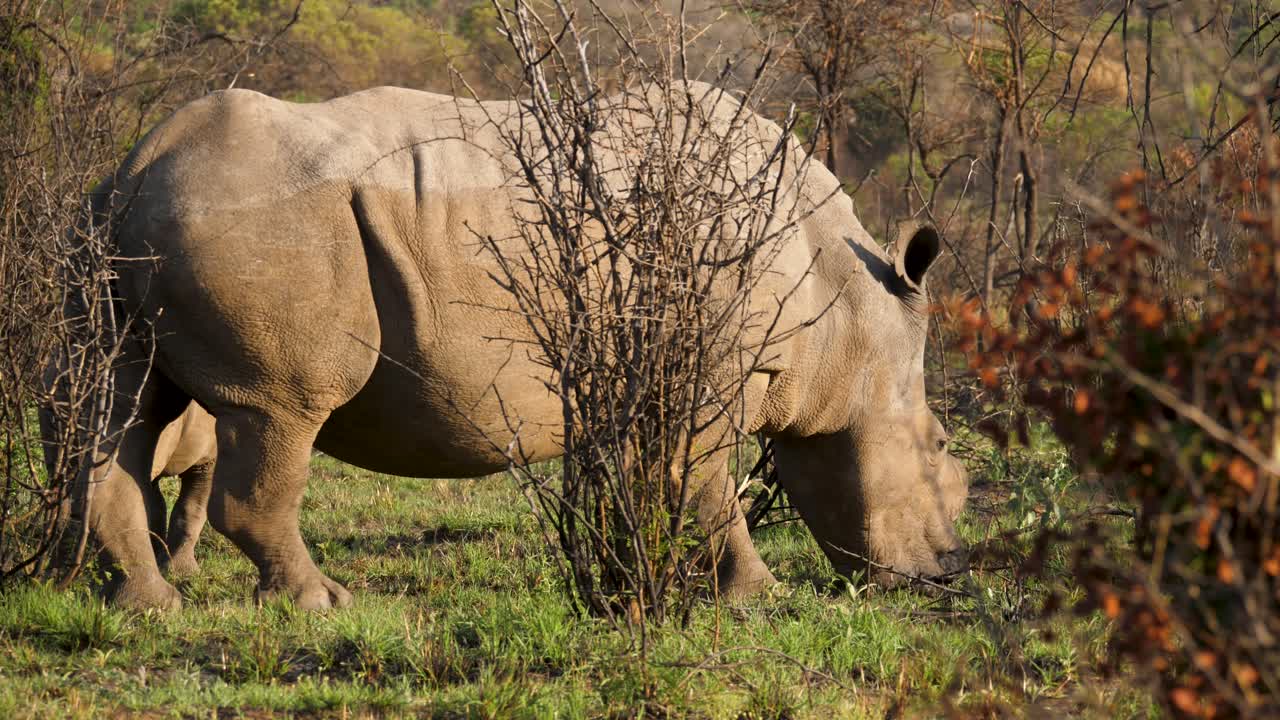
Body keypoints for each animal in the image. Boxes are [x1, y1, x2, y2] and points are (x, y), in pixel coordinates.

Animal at [64, 83, 968, 610]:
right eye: (940, 447)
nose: (947, 572)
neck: (850, 313)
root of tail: (140, 165)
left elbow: (640, 479)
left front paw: (635, 581)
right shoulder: (711, 368)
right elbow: (707, 483)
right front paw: (756, 598)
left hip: (107, 233)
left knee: (121, 408)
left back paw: (146, 608)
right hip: (260, 223)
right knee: (280, 409)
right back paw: (322, 604)